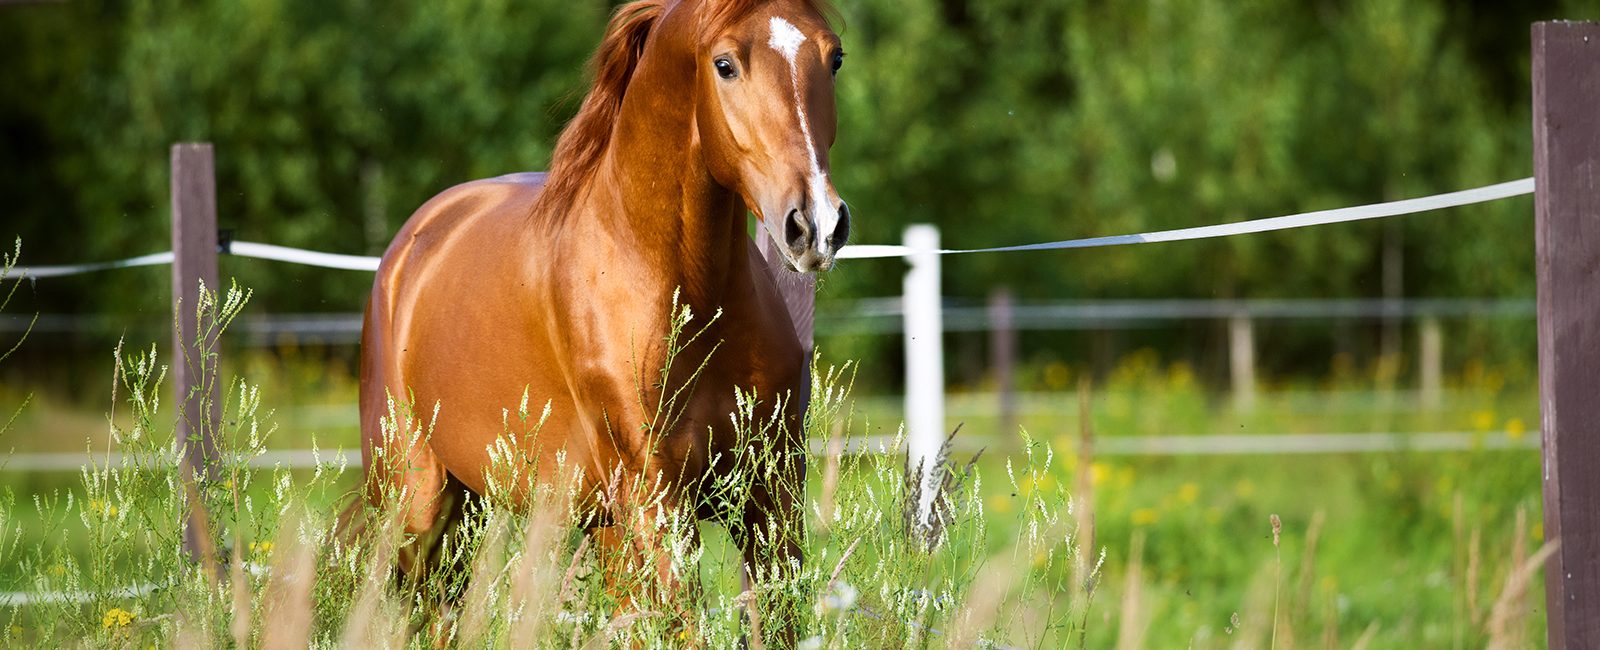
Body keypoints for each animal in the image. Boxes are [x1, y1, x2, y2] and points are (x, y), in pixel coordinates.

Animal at [353, 0, 851, 630]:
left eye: (834, 57)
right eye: (725, 64)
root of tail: (409, 249)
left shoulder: (770, 495)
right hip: (418, 511)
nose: (816, 225)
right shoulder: (656, 499)